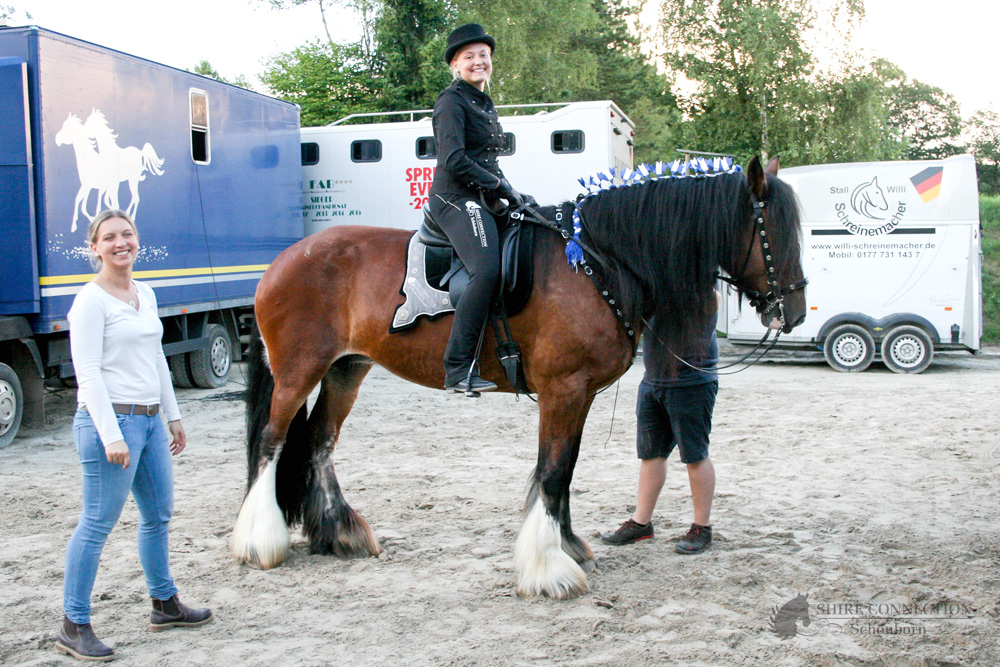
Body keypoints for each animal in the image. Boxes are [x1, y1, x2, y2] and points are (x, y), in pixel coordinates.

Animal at [232, 155, 804, 600]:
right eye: (773, 231)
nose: (794, 311)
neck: (594, 262)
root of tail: (279, 264)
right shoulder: (563, 390)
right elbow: (551, 472)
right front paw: (549, 570)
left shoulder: (578, 394)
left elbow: (565, 469)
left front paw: (568, 547)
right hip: (298, 373)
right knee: (271, 442)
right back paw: (259, 541)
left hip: (346, 371)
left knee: (319, 443)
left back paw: (339, 534)